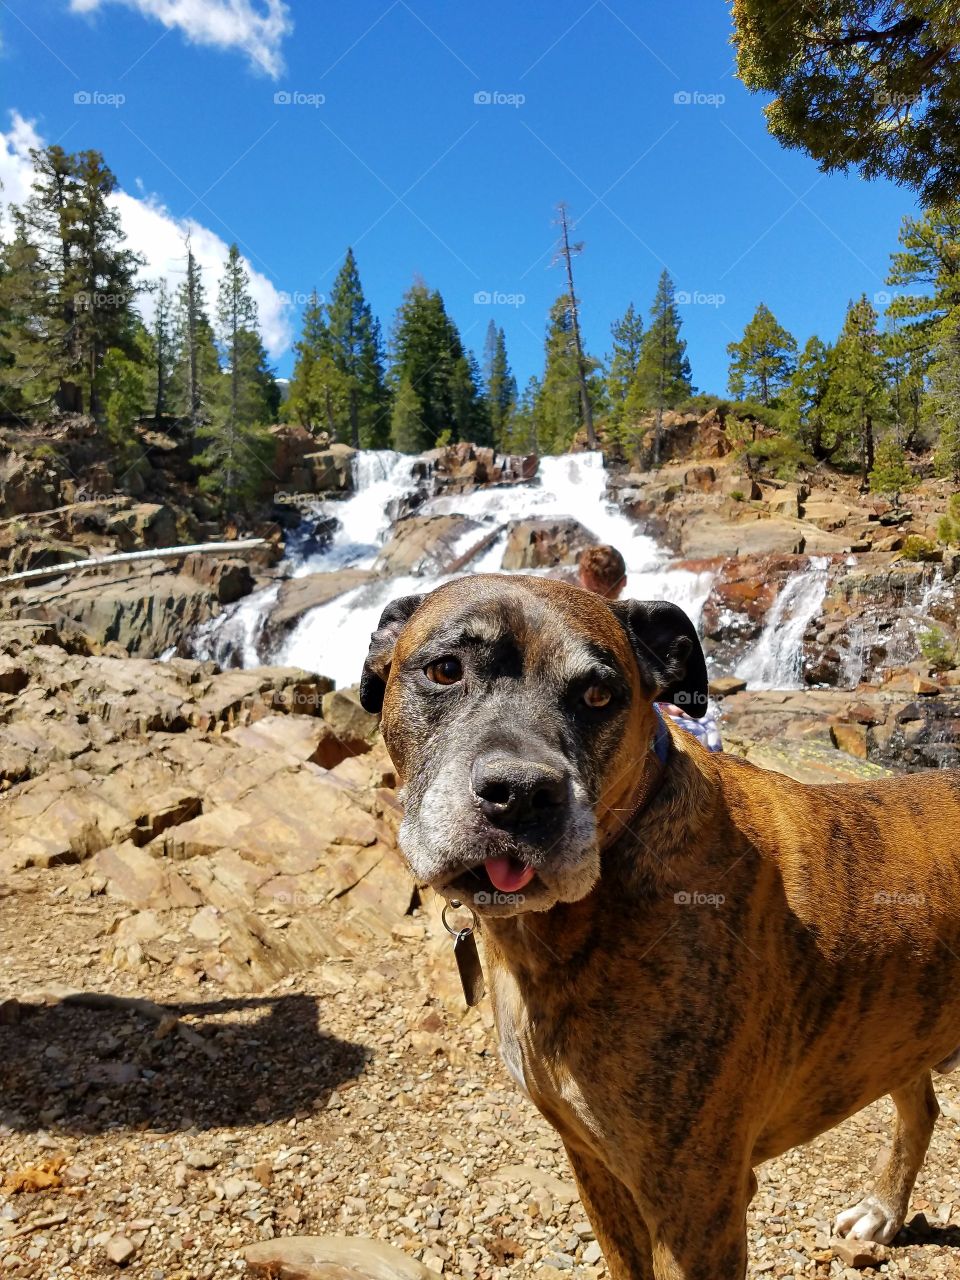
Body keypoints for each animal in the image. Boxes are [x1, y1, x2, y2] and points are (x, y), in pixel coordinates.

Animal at [358, 578, 960, 1280]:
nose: (522, 793)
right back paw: (883, 1211)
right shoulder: (594, 1164)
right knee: (920, 1108)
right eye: (445, 670)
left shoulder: (694, 1211)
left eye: (598, 696)